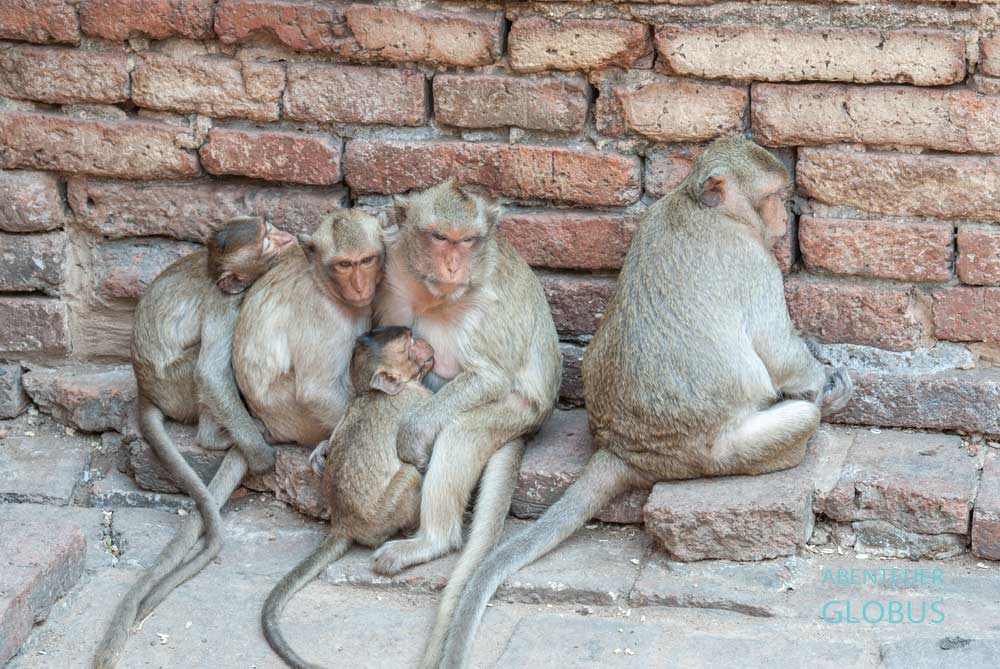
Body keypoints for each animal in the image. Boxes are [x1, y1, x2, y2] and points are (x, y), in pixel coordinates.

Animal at [94, 217, 296, 669]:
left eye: (269, 227)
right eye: (267, 241)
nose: (288, 236)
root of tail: (145, 390)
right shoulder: (229, 308)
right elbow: (211, 374)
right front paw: (259, 456)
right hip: (177, 386)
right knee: (205, 370)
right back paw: (216, 437)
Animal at [262, 326, 435, 669]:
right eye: (409, 345)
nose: (426, 344)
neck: (372, 392)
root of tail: (342, 522)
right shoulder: (416, 398)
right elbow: (419, 452)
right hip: (382, 516)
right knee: (409, 474)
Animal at [363, 177, 562, 668]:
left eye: (468, 241)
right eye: (440, 238)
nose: (454, 265)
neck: (434, 294)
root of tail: (533, 423)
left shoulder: (486, 304)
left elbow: (488, 376)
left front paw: (414, 433)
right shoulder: (389, 279)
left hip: (514, 412)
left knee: (459, 434)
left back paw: (431, 540)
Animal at [431, 135, 854, 668]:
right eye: (775, 196)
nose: (783, 218)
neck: (704, 206)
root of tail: (625, 450)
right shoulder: (751, 262)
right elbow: (777, 349)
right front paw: (826, 382)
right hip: (710, 455)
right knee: (798, 418)